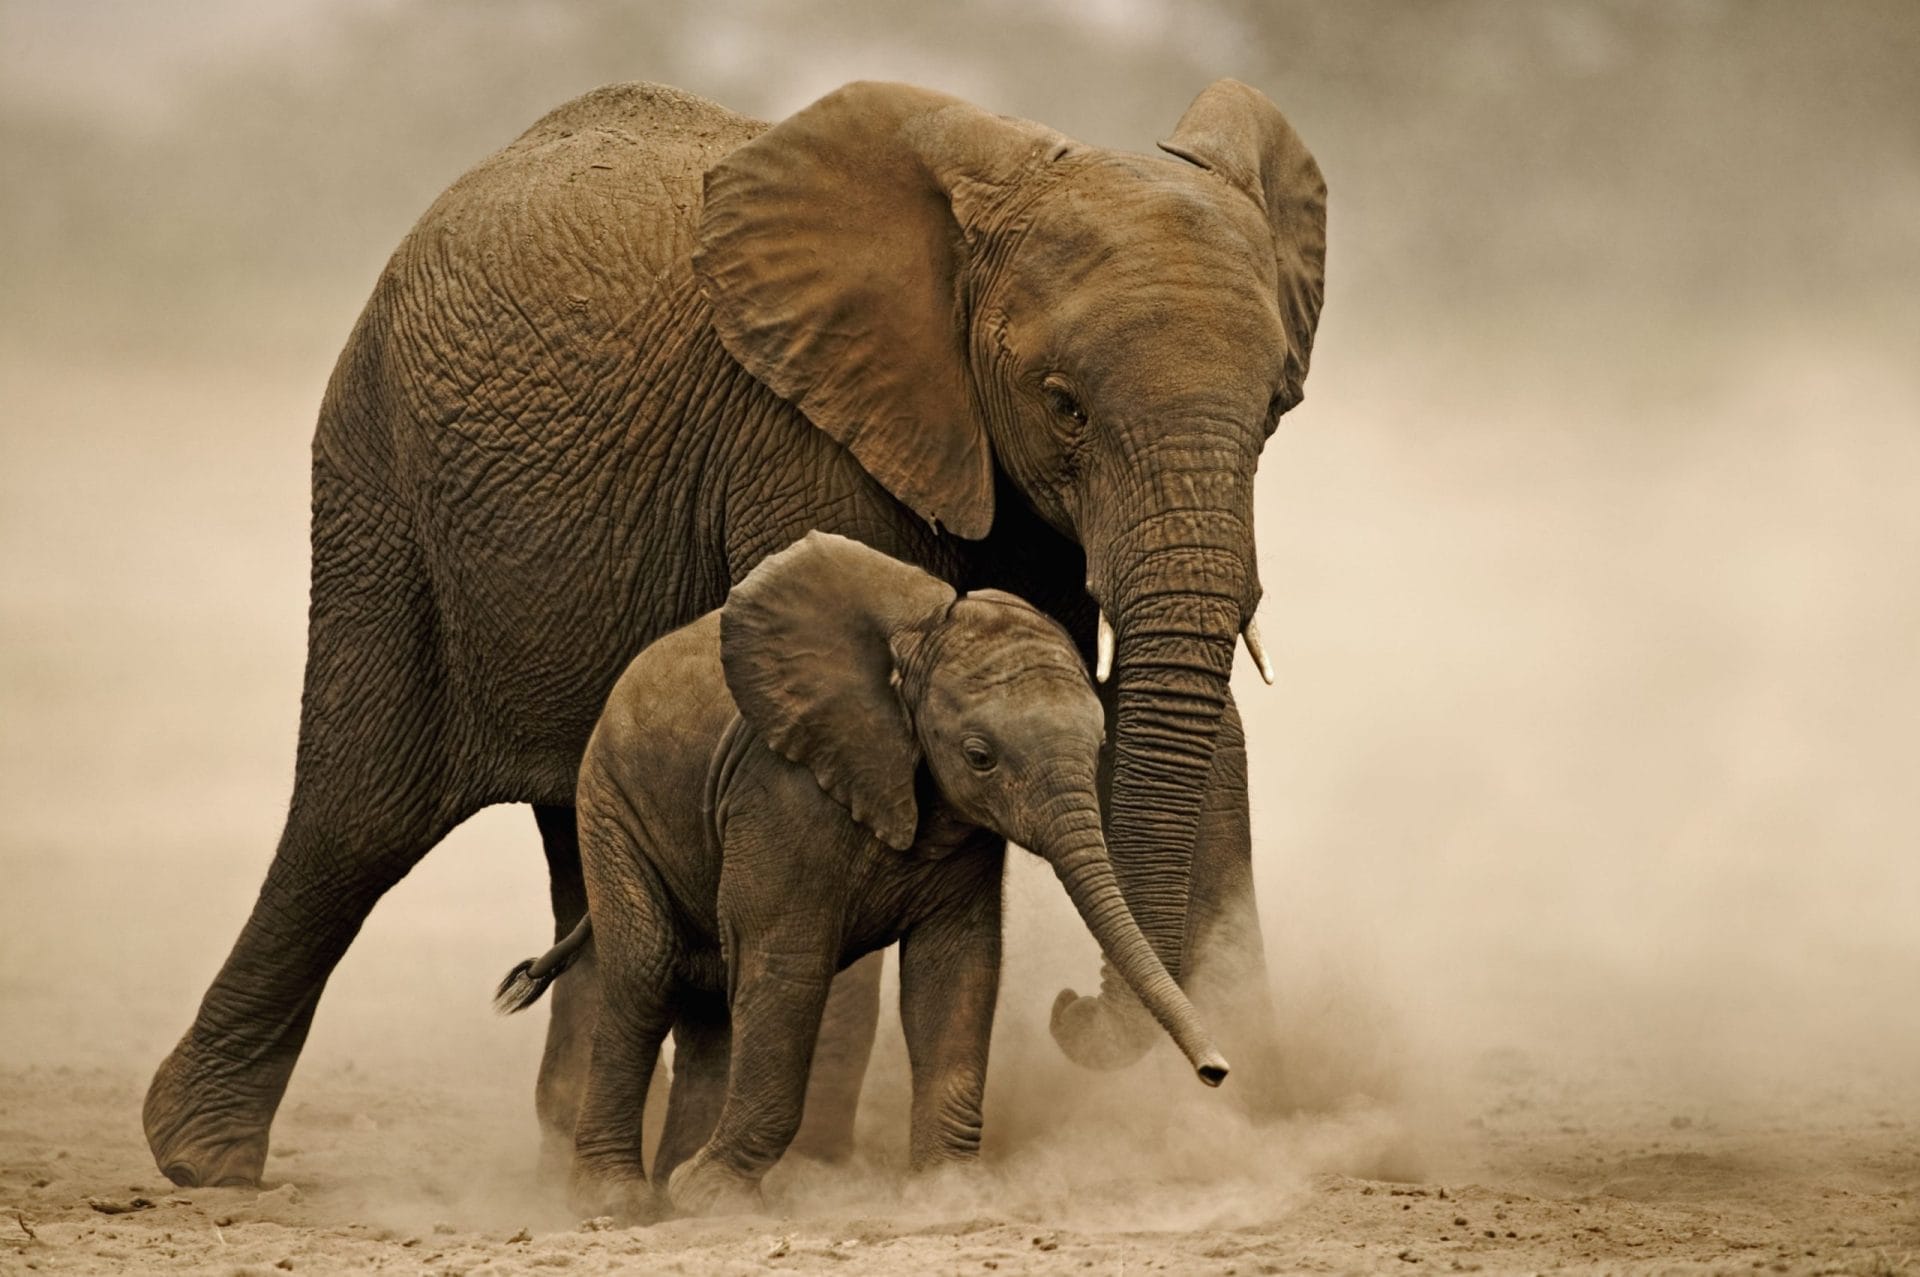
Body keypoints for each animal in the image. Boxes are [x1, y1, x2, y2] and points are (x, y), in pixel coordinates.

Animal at [493, 533, 1229, 1218]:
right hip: (610, 804)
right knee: (647, 976)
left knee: (708, 999)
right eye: (979, 756)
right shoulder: (782, 790)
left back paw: (669, 1189)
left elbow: (955, 970)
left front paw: (952, 1197)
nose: (1217, 1070)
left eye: (1100, 745)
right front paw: (715, 1197)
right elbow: (787, 971)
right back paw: (617, 1201)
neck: (914, 650)